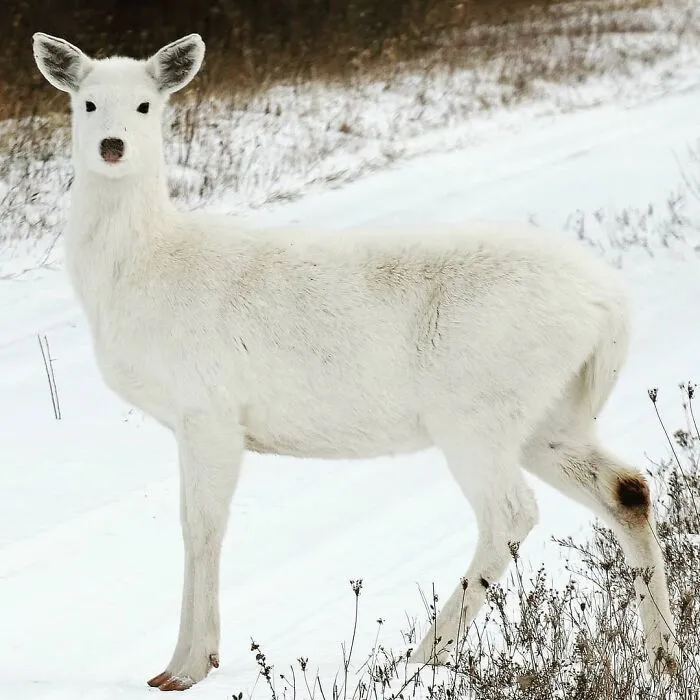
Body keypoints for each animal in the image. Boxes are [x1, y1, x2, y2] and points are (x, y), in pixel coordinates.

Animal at [31, 31, 677, 691]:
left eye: (145, 105)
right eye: (87, 102)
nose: (112, 146)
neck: (140, 273)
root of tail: (611, 306)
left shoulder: (209, 407)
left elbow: (202, 526)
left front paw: (187, 666)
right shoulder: (193, 420)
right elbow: (191, 524)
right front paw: (178, 662)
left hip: (479, 409)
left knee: (511, 514)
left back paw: (423, 655)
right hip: (552, 415)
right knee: (627, 487)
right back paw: (663, 654)